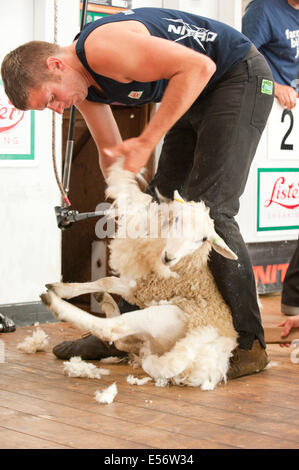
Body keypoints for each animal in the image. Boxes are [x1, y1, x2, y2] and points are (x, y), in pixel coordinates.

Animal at [41, 161, 239, 390]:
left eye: (204, 239)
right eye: (177, 219)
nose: (169, 258)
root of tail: (205, 359)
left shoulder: (144, 287)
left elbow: (107, 281)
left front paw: (60, 292)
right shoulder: (138, 285)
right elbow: (105, 280)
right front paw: (63, 288)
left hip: (161, 316)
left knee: (113, 329)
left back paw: (57, 304)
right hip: (151, 339)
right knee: (120, 341)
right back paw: (105, 302)